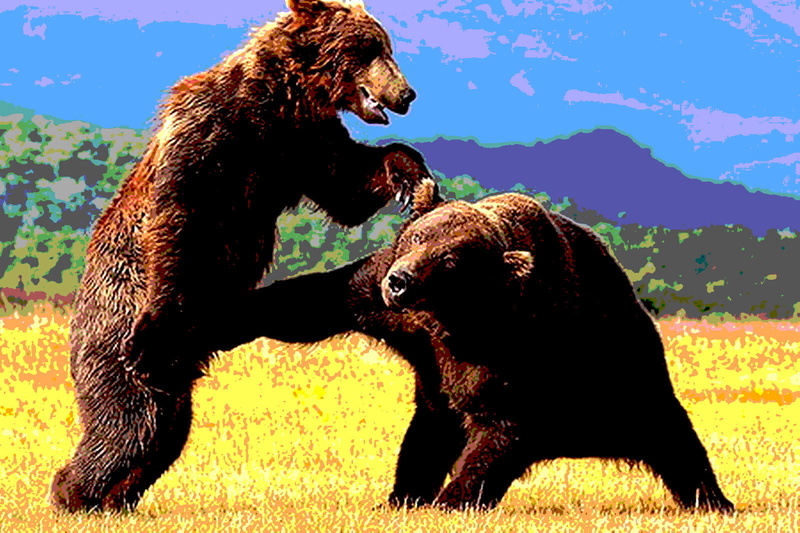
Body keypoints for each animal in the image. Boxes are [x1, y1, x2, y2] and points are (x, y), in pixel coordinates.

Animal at [52, 0, 433, 513]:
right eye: (370, 47)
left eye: (385, 46)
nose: (407, 93)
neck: (280, 99)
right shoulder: (216, 133)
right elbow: (182, 217)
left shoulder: (301, 141)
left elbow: (348, 184)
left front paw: (413, 174)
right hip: (118, 336)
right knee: (129, 422)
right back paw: (73, 493)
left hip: (182, 366)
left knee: (163, 432)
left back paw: (117, 497)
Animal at [227, 179, 734, 512]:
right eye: (417, 236)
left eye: (450, 259)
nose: (401, 280)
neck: (453, 317)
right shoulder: (393, 314)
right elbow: (314, 301)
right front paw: (227, 315)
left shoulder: (520, 348)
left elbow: (501, 430)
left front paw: (452, 500)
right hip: (443, 403)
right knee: (424, 438)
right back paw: (402, 496)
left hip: (623, 380)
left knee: (675, 438)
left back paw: (713, 500)